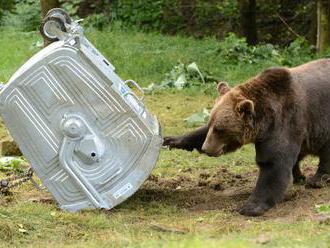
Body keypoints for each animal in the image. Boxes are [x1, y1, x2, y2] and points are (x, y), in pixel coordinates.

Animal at [164, 58, 330, 215]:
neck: (264, 122)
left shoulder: (285, 122)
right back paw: (299, 177)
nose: (206, 148)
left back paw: (317, 180)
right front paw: (171, 140)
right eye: (211, 123)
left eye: (220, 129)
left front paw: (250, 207)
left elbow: (273, 163)